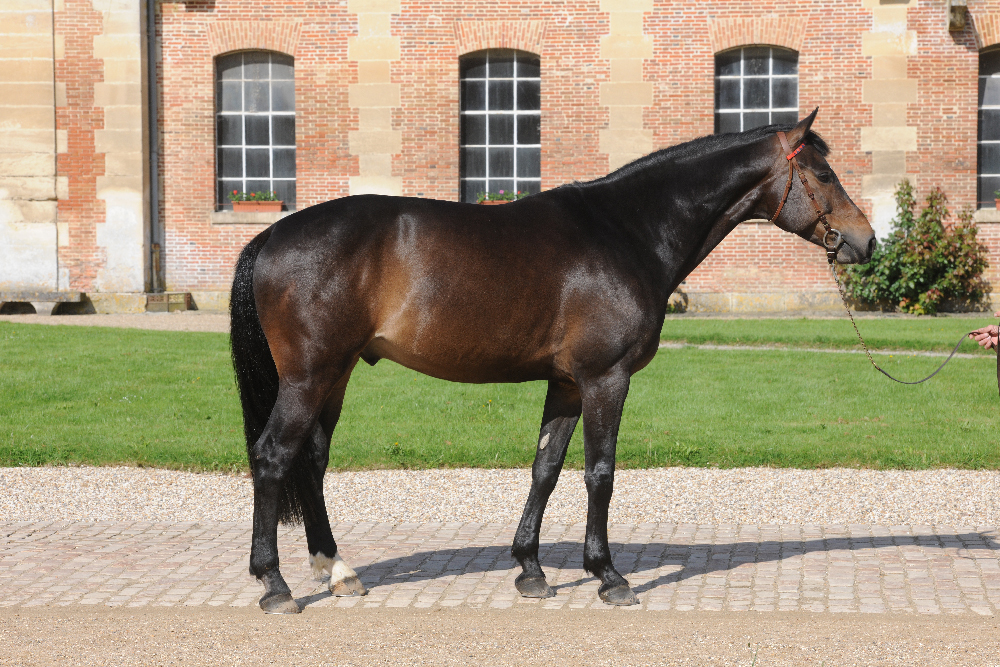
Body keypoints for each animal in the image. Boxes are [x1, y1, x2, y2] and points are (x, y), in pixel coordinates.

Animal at [229, 109, 875, 613]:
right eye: (823, 173)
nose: (865, 241)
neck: (628, 230)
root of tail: (270, 236)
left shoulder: (565, 383)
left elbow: (545, 468)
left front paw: (530, 570)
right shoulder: (605, 379)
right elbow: (599, 473)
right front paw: (608, 575)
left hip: (333, 376)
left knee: (311, 460)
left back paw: (338, 571)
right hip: (309, 376)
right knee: (273, 456)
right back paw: (275, 584)